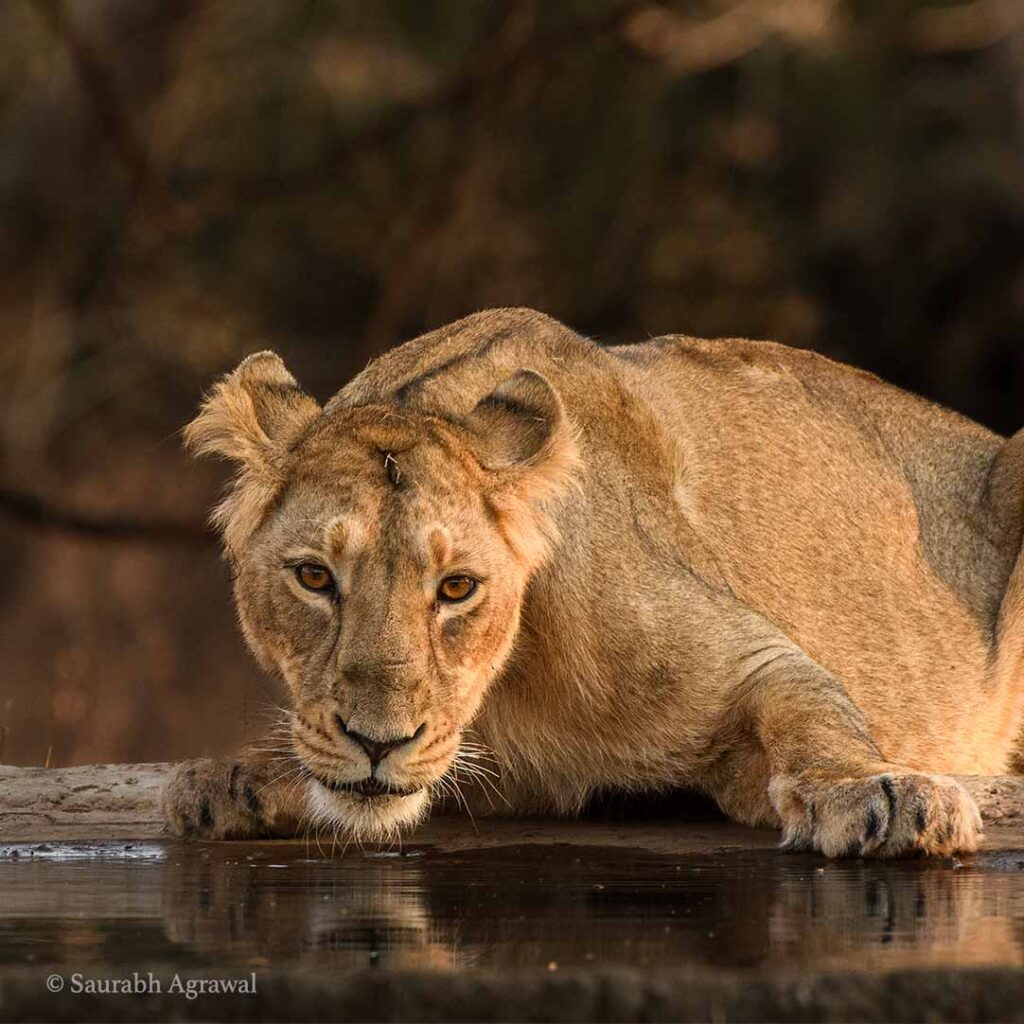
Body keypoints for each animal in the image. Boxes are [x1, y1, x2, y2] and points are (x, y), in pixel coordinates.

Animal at [163, 307, 1024, 857]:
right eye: (314, 577)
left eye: (456, 588)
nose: (380, 743)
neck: (505, 690)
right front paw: (241, 777)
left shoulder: (747, 655)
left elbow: (814, 717)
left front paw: (881, 794)